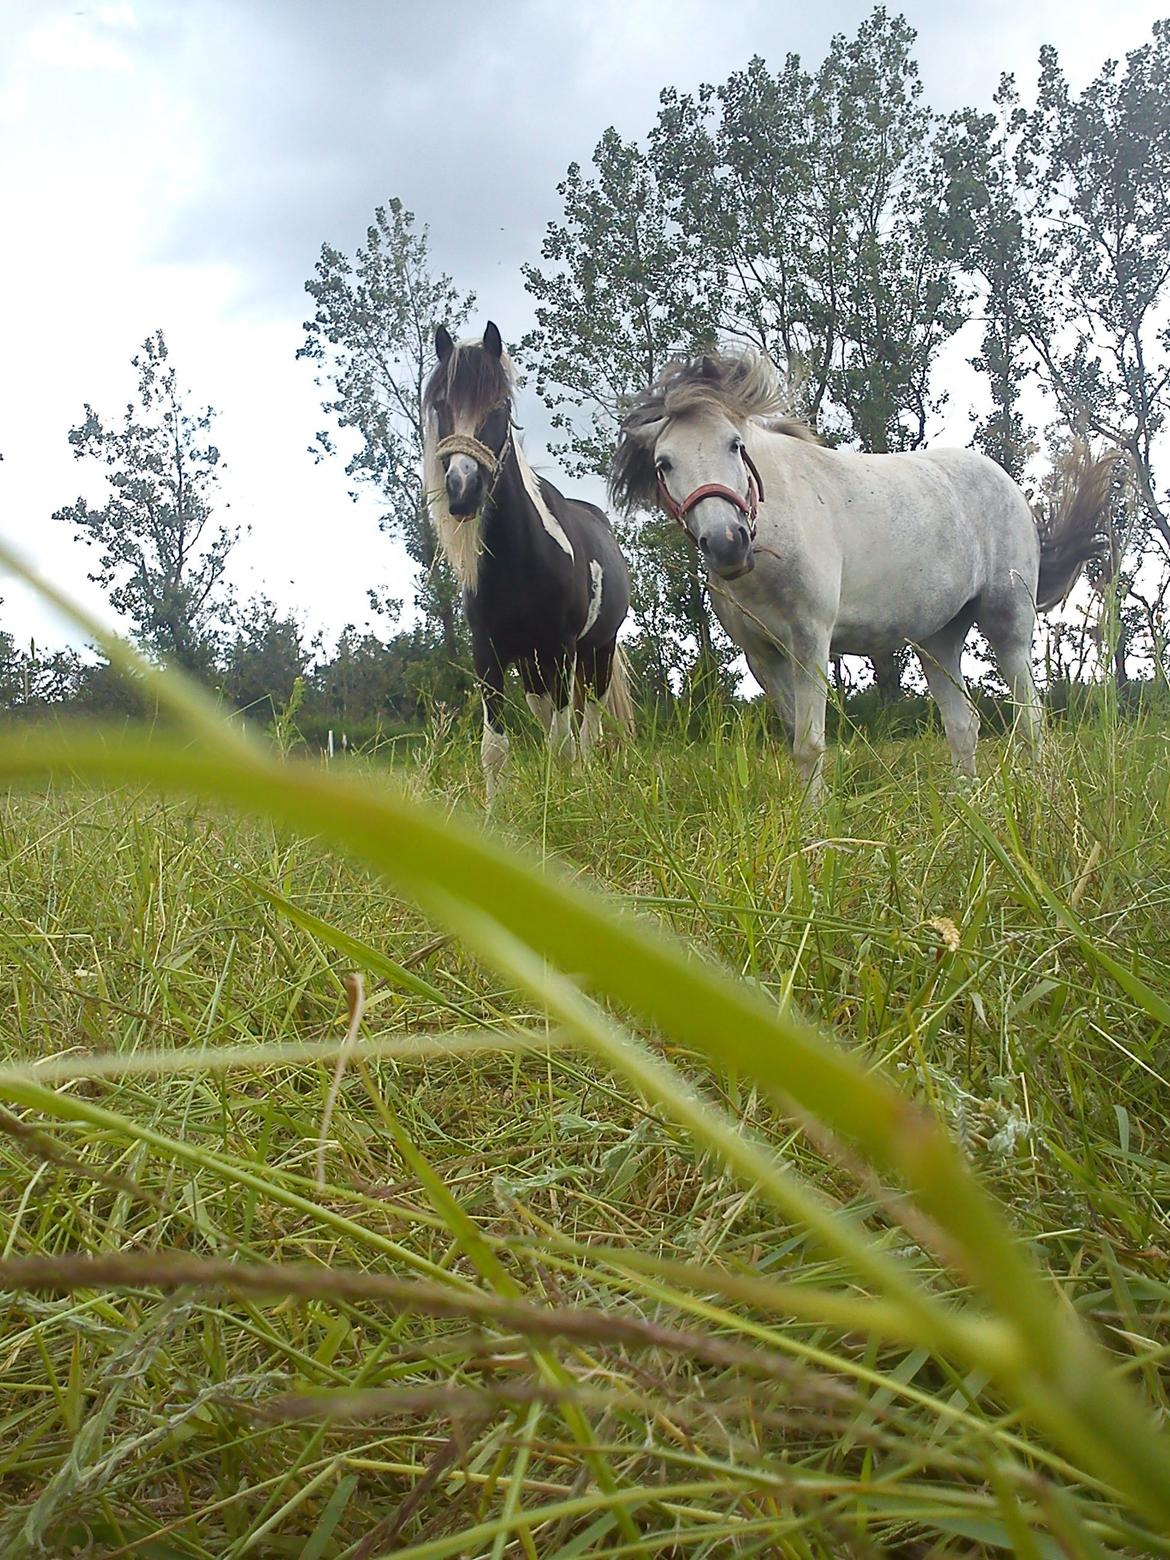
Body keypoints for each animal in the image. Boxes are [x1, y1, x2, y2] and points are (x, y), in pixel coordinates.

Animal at [423, 322, 632, 798]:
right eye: (441, 405)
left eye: (498, 405)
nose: (462, 490)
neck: (521, 562)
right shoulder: (489, 653)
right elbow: (495, 749)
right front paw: (495, 812)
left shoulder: (562, 649)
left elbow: (565, 740)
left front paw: (568, 800)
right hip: (533, 666)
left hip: (596, 653)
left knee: (587, 724)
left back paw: (588, 778)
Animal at [611, 349, 1117, 799]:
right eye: (664, 463)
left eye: (735, 445)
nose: (726, 543)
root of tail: (1008, 485)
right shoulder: (763, 657)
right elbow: (795, 739)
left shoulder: (810, 641)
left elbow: (809, 744)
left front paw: (814, 828)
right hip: (938, 640)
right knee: (963, 724)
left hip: (1007, 623)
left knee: (1030, 718)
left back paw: (1042, 796)